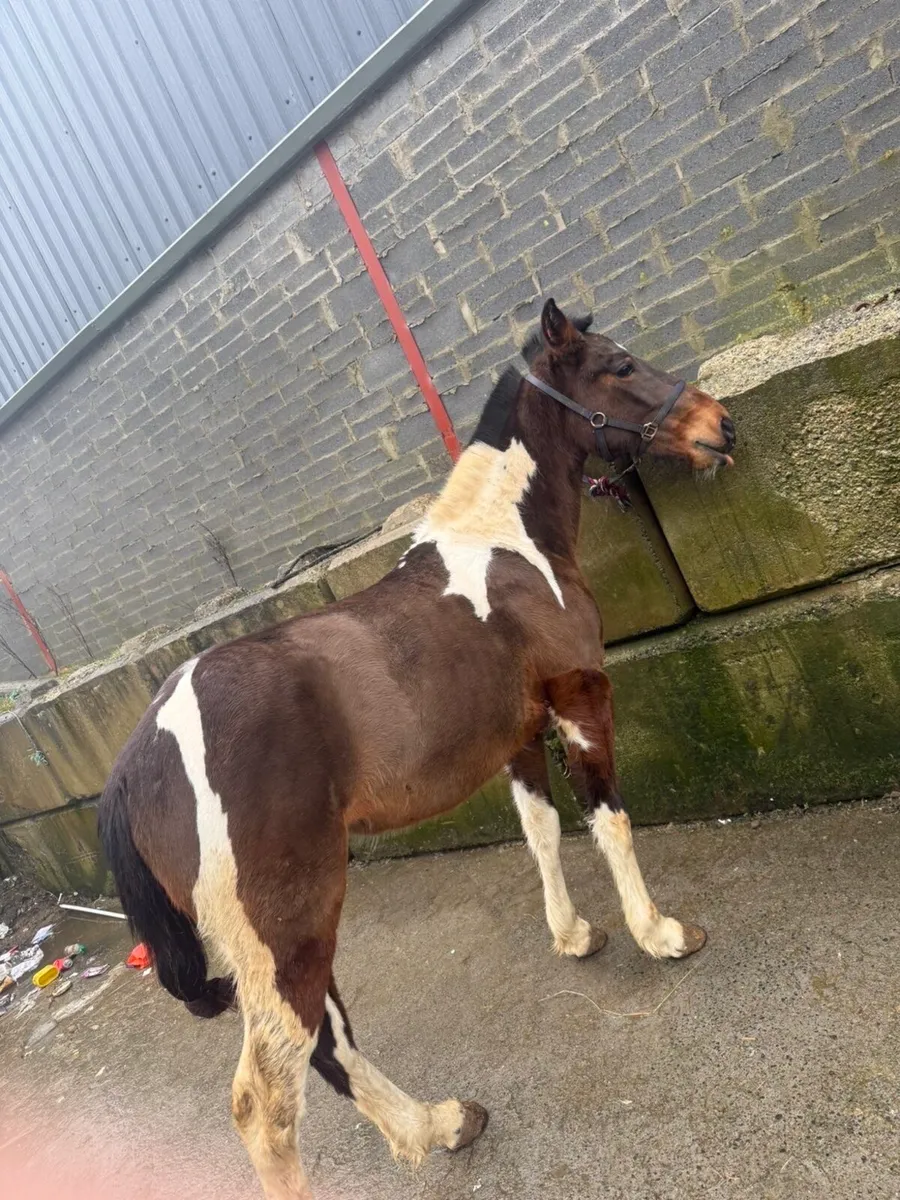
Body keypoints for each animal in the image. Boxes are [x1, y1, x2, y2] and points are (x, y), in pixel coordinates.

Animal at [98, 298, 735, 1199]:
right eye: (617, 364)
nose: (721, 425)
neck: (500, 543)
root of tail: (134, 764)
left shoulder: (516, 734)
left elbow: (542, 830)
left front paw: (574, 934)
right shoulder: (580, 698)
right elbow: (608, 819)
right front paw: (660, 933)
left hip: (280, 940)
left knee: (326, 1042)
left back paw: (439, 1123)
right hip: (289, 924)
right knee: (268, 1098)